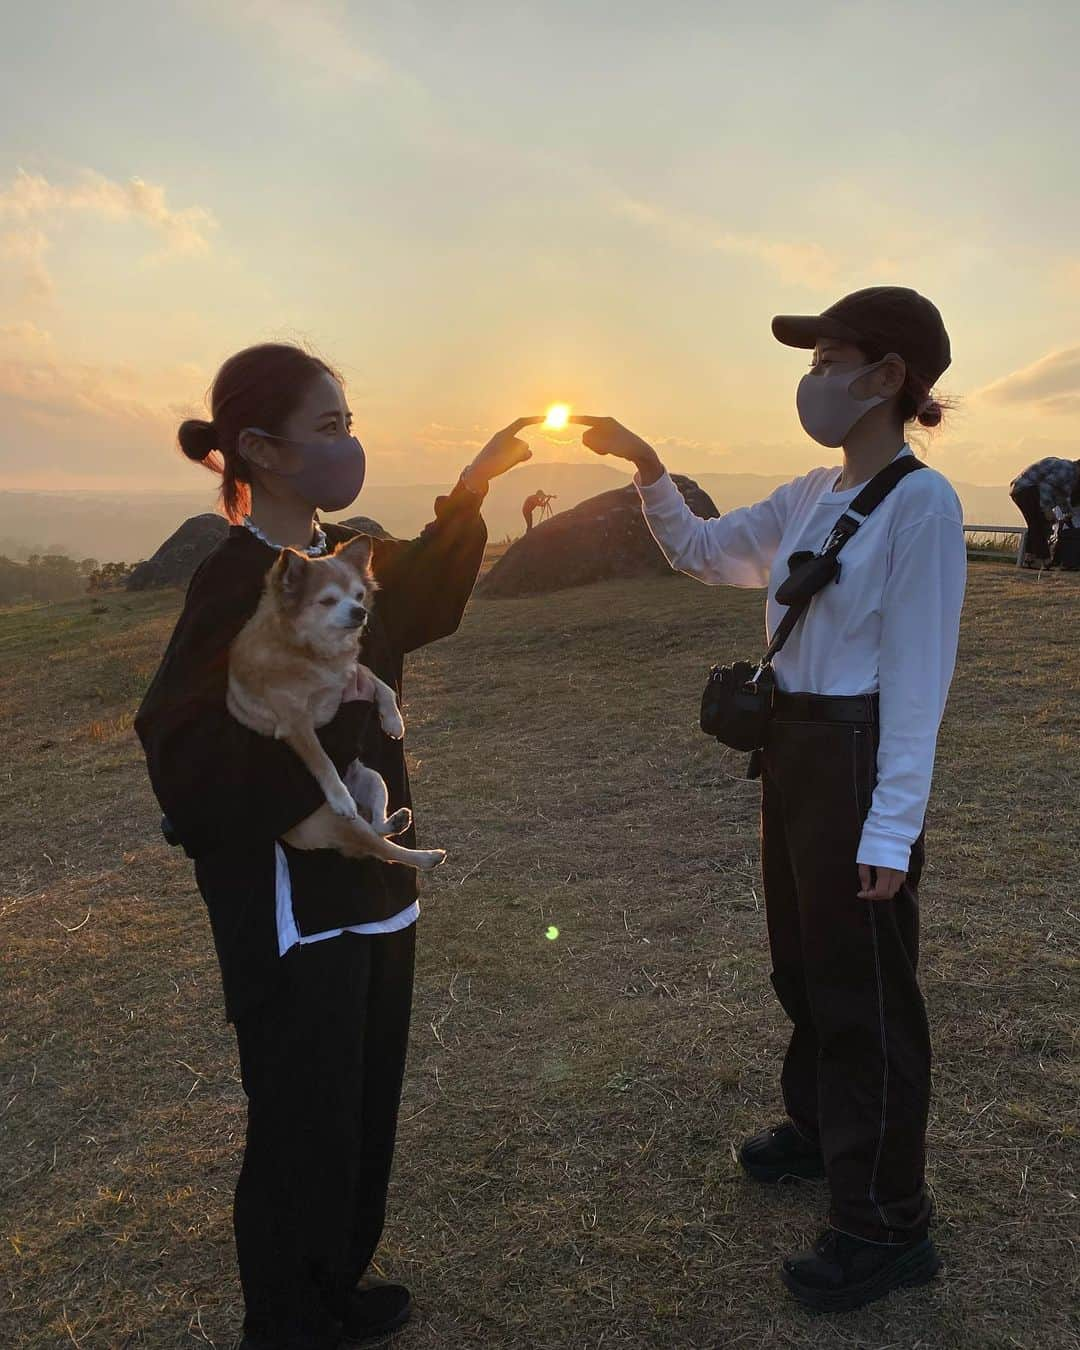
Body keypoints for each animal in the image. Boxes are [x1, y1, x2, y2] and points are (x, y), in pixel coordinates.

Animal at [228, 537, 448, 874]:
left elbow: (383, 687)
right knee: (380, 847)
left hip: (373, 779)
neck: (313, 653)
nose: (360, 611)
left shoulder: (354, 673)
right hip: (344, 823)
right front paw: (340, 796)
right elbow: (322, 760)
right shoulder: (296, 724)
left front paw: (393, 721)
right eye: (328, 601)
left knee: (377, 825)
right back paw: (425, 857)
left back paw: (395, 821)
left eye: (358, 595)